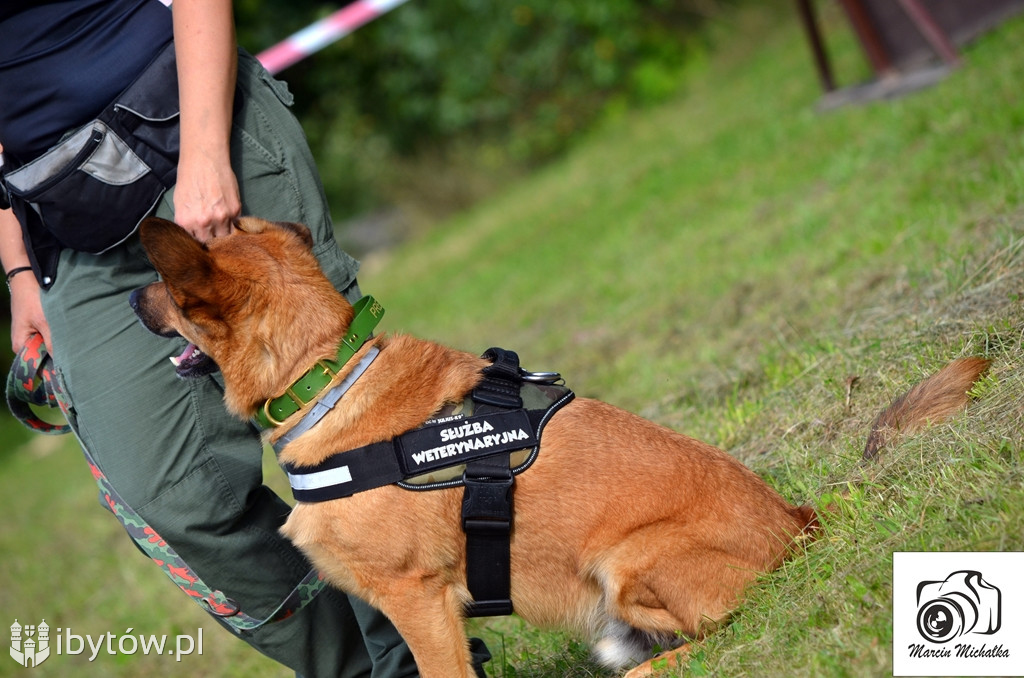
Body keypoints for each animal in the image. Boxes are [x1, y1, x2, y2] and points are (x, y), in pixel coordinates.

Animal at [132, 219, 987, 678]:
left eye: (168, 291)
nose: (133, 298)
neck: (326, 377)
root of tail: (801, 520)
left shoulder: (419, 600)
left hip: (629, 562)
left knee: (731, 631)